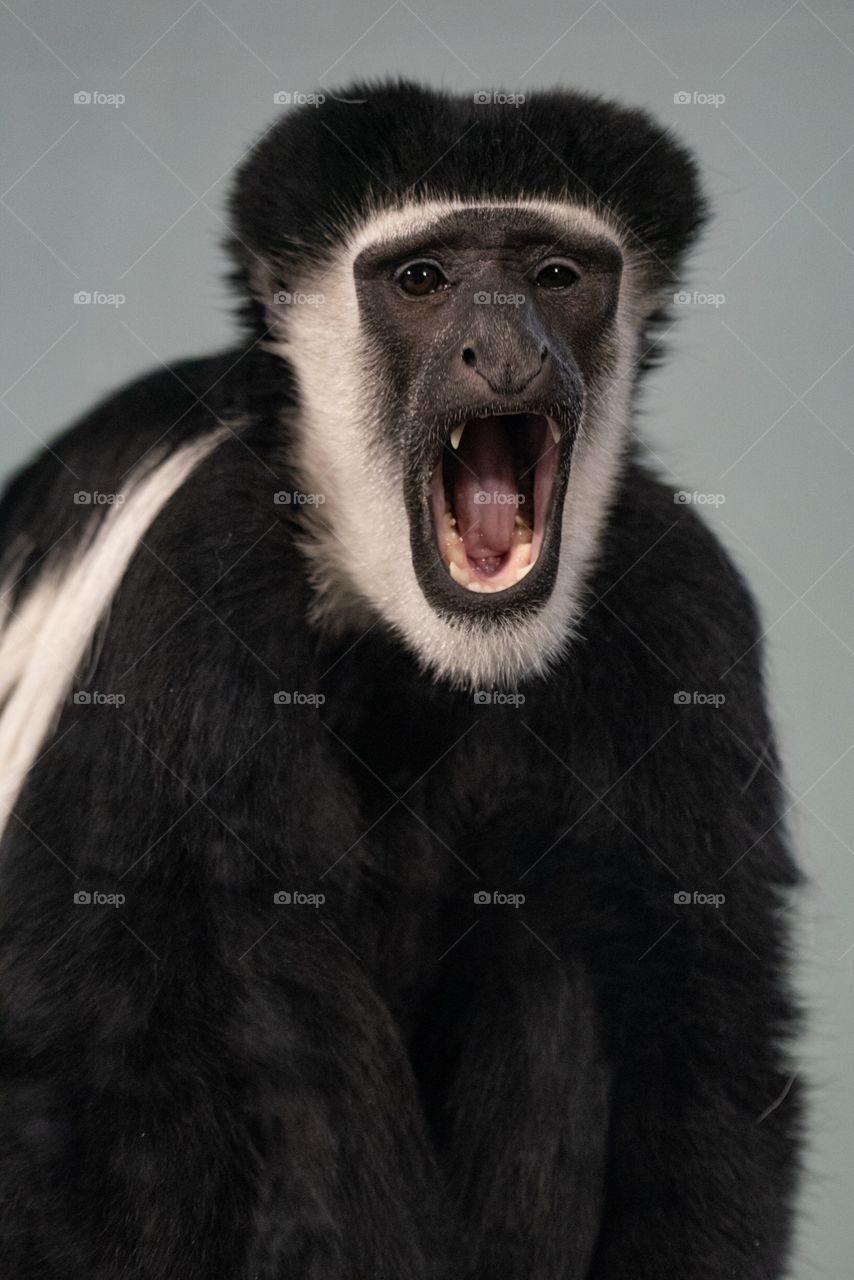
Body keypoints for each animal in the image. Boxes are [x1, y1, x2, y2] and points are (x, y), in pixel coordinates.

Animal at [0, 80, 802, 1279]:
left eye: (553, 276)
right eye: (423, 280)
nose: (505, 351)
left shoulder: (683, 606)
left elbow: (700, 1021)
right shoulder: (181, 595)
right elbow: (96, 1063)